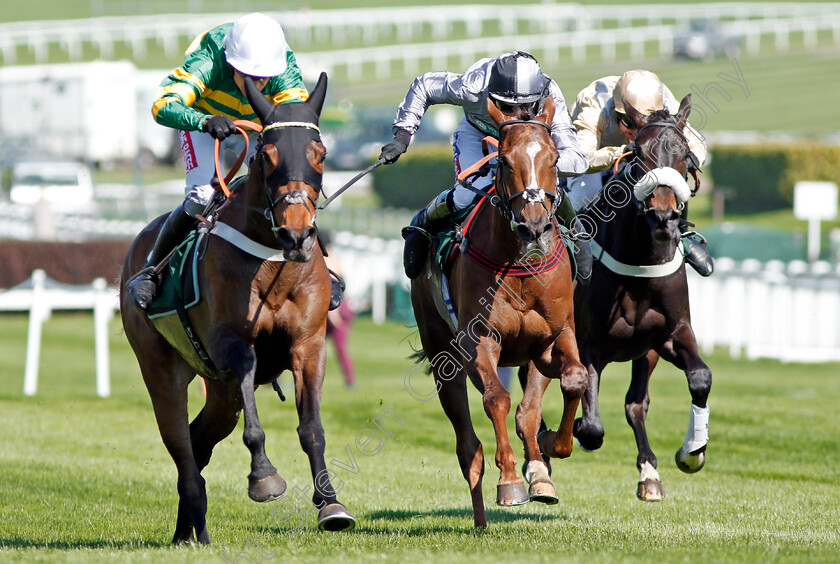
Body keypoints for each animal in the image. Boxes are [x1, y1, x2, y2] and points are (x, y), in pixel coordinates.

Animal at [120, 72, 352, 544]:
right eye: (267, 154)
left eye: (320, 154)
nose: (297, 235)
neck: (275, 263)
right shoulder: (234, 344)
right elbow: (255, 428)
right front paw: (264, 477)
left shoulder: (308, 343)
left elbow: (312, 428)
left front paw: (330, 504)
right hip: (160, 369)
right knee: (181, 445)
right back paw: (196, 528)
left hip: (219, 389)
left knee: (199, 439)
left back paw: (187, 529)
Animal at [410, 97, 588, 528]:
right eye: (504, 161)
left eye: (555, 158)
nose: (534, 228)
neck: (520, 265)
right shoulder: (480, 340)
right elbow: (497, 400)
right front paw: (509, 480)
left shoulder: (555, 335)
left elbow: (571, 381)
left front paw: (551, 451)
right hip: (441, 352)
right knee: (467, 446)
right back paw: (480, 518)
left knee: (526, 412)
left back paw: (539, 469)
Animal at [536, 94, 712, 500]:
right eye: (638, 155)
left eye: (683, 153)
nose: (663, 215)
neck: (638, 264)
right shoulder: (588, 345)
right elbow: (591, 428)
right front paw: (570, 433)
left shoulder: (670, 334)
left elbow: (699, 378)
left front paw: (691, 452)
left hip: (643, 352)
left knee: (636, 403)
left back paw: (649, 473)